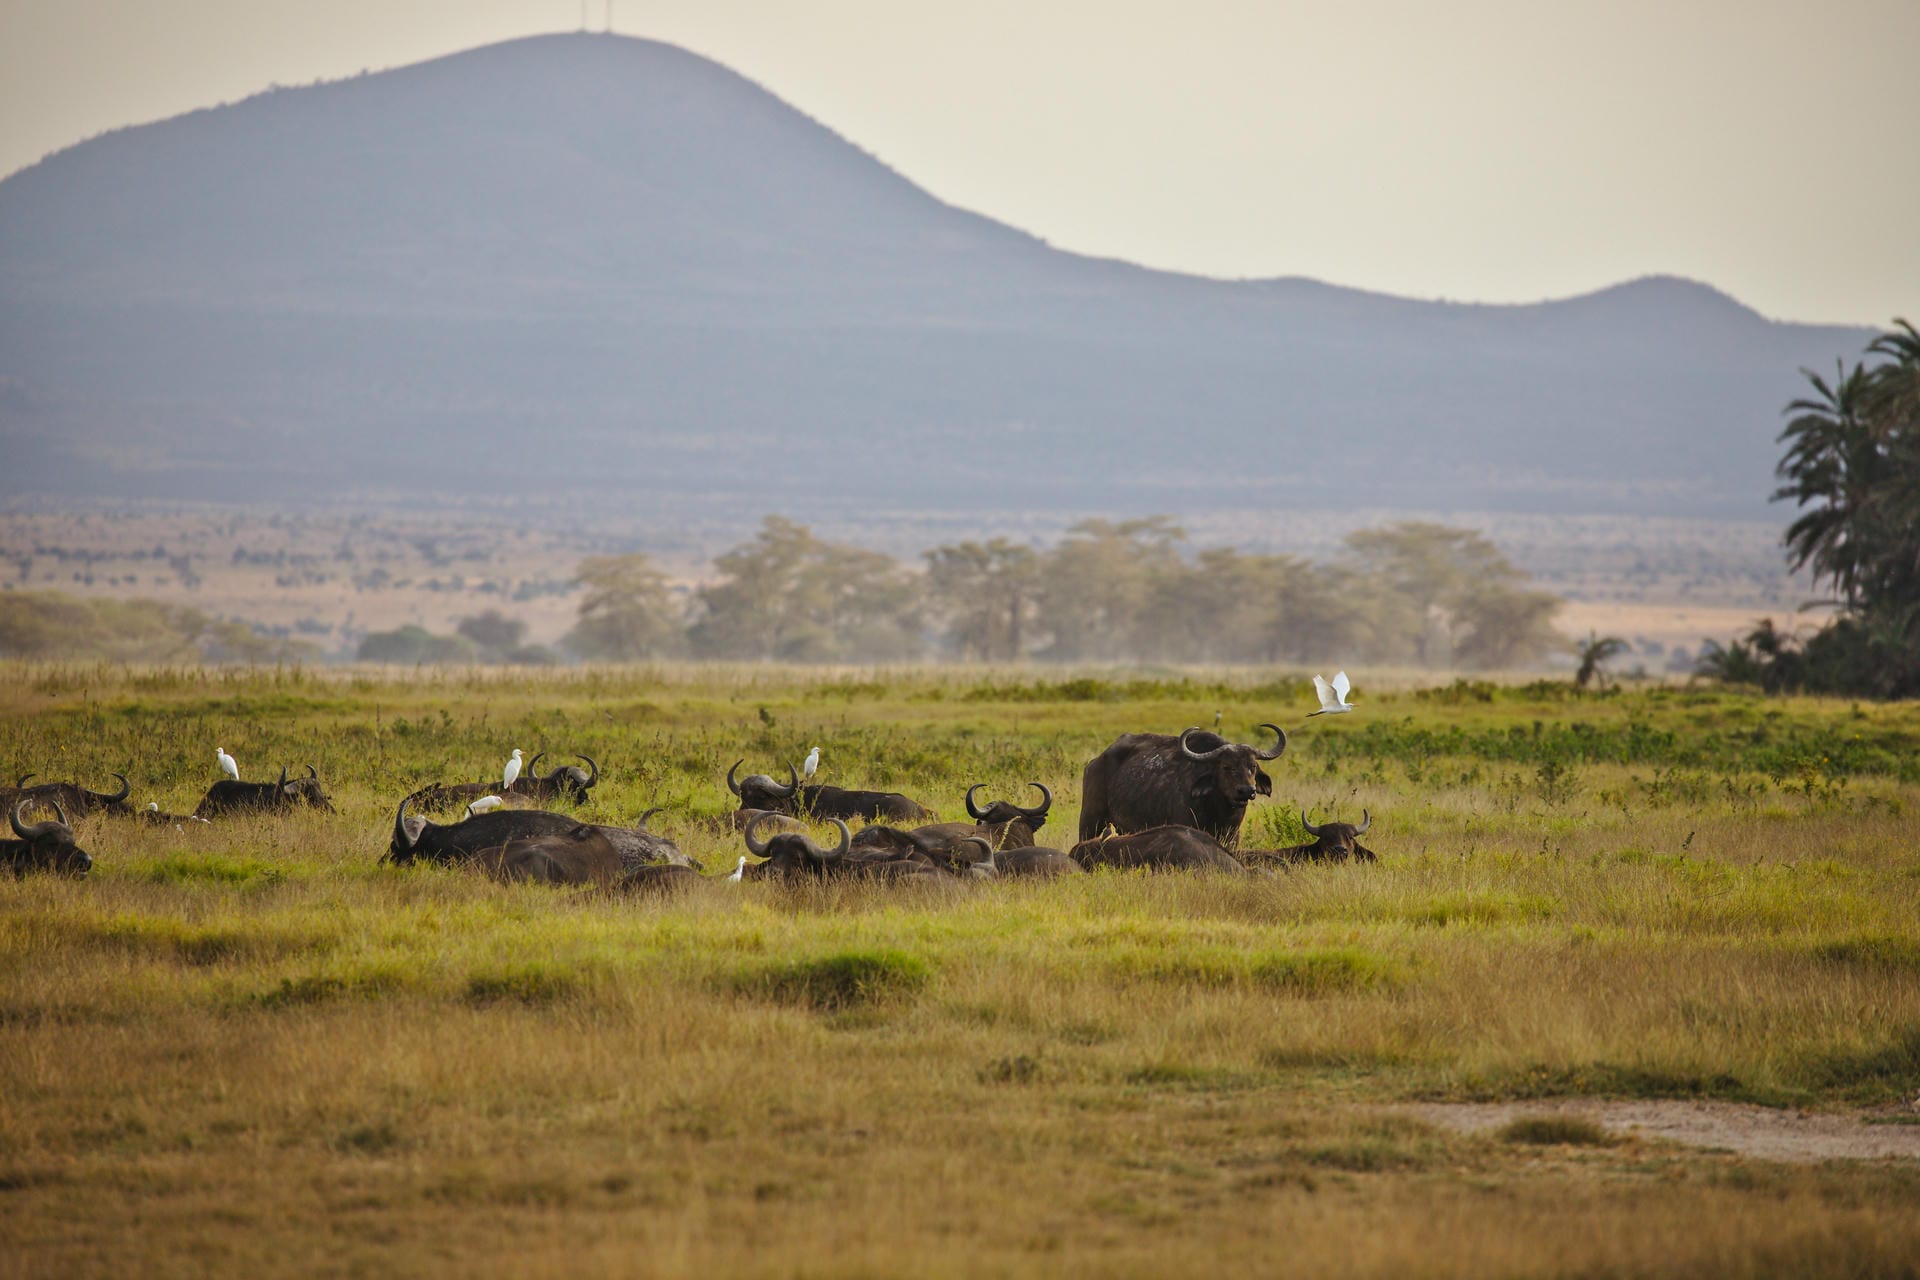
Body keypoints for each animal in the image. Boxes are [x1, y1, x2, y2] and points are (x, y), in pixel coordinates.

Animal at [1078, 725, 1286, 847]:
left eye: (1252, 766)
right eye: (1226, 767)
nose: (1246, 791)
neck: (1218, 809)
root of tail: (1095, 762)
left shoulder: (1233, 836)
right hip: (1090, 819)